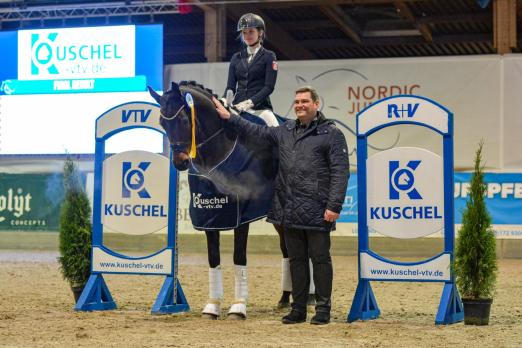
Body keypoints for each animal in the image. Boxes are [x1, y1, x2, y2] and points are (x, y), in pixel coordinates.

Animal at [148, 81, 292, 318]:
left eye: (184, 120)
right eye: (162, 123)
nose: (180, 162)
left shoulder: (242, 215)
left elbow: (238, 256)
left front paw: (238, 306)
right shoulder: (210, 214)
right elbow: (213, 258)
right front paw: (213, 305)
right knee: (287, 248)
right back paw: (286, 299)